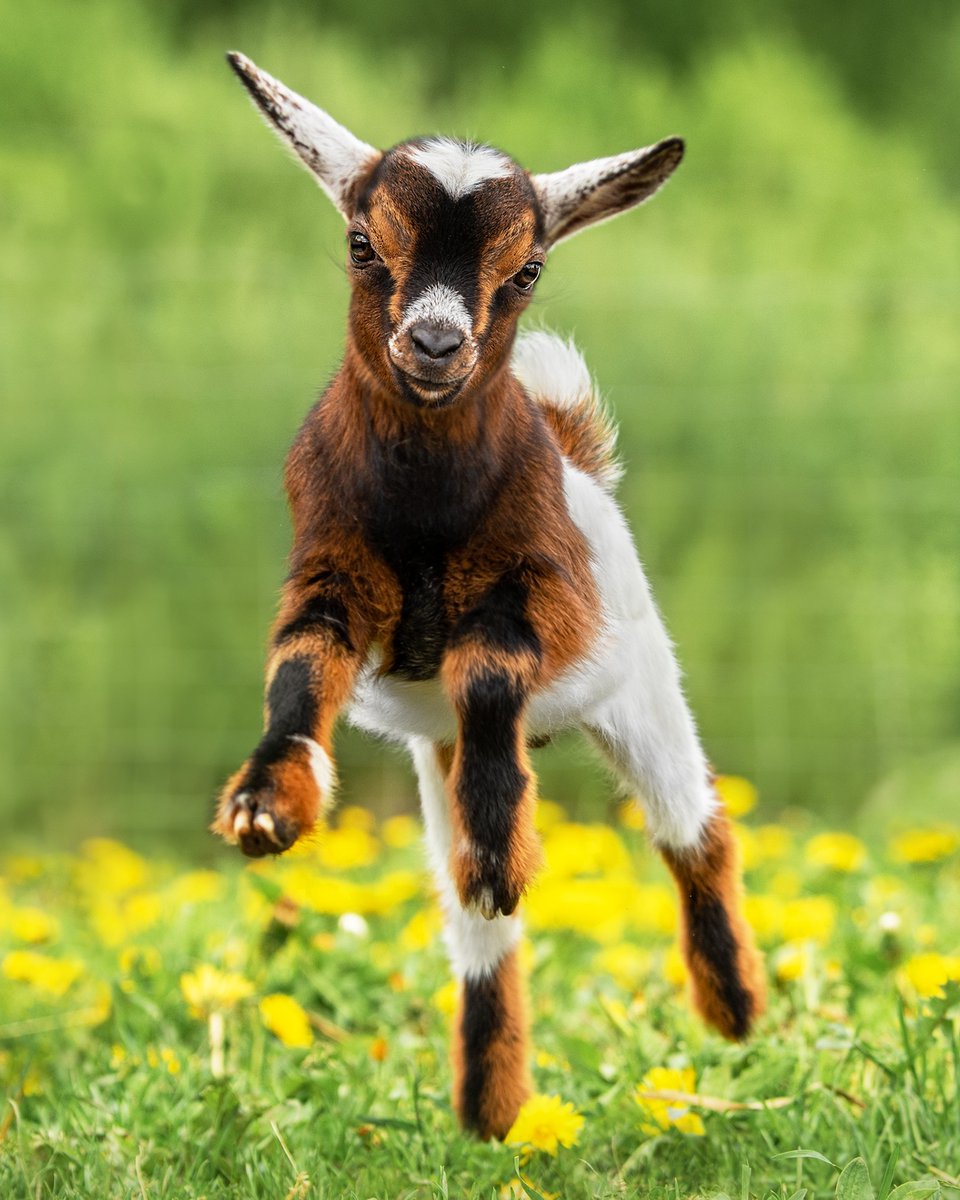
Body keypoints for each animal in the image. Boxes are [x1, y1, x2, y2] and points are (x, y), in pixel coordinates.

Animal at [213, 52, 765, 1140]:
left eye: (529, 268)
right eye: (362, 243)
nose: (435, 344)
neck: (429, 508)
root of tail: (575, 446)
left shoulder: (542, 594)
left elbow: (489, 663)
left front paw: (506, 854)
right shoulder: (332, 575)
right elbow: (298, 670)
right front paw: (266, 807)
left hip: (643, 688)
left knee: (696, 830)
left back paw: (731, 1008)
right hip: (433, 757)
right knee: (474, 933)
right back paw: (491, 1109)